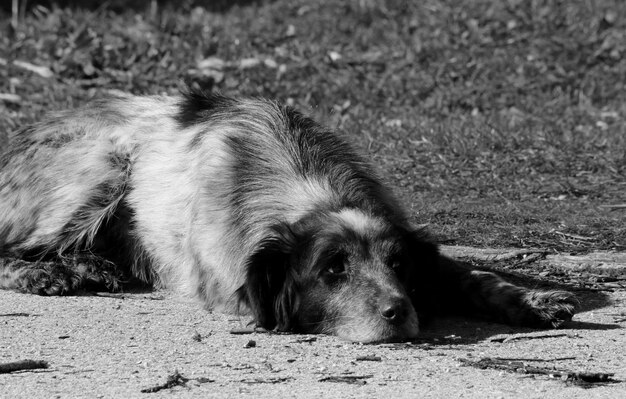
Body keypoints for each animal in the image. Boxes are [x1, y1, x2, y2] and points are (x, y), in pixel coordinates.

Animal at [0, 88, 576, 344]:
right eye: (332, 270)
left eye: (399, 266)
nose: (399, 313)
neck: (308, 190)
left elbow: (475, 276)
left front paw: (535, 300)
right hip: (105, 167)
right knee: (11, 248)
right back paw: (44, 273)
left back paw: (90, 267)